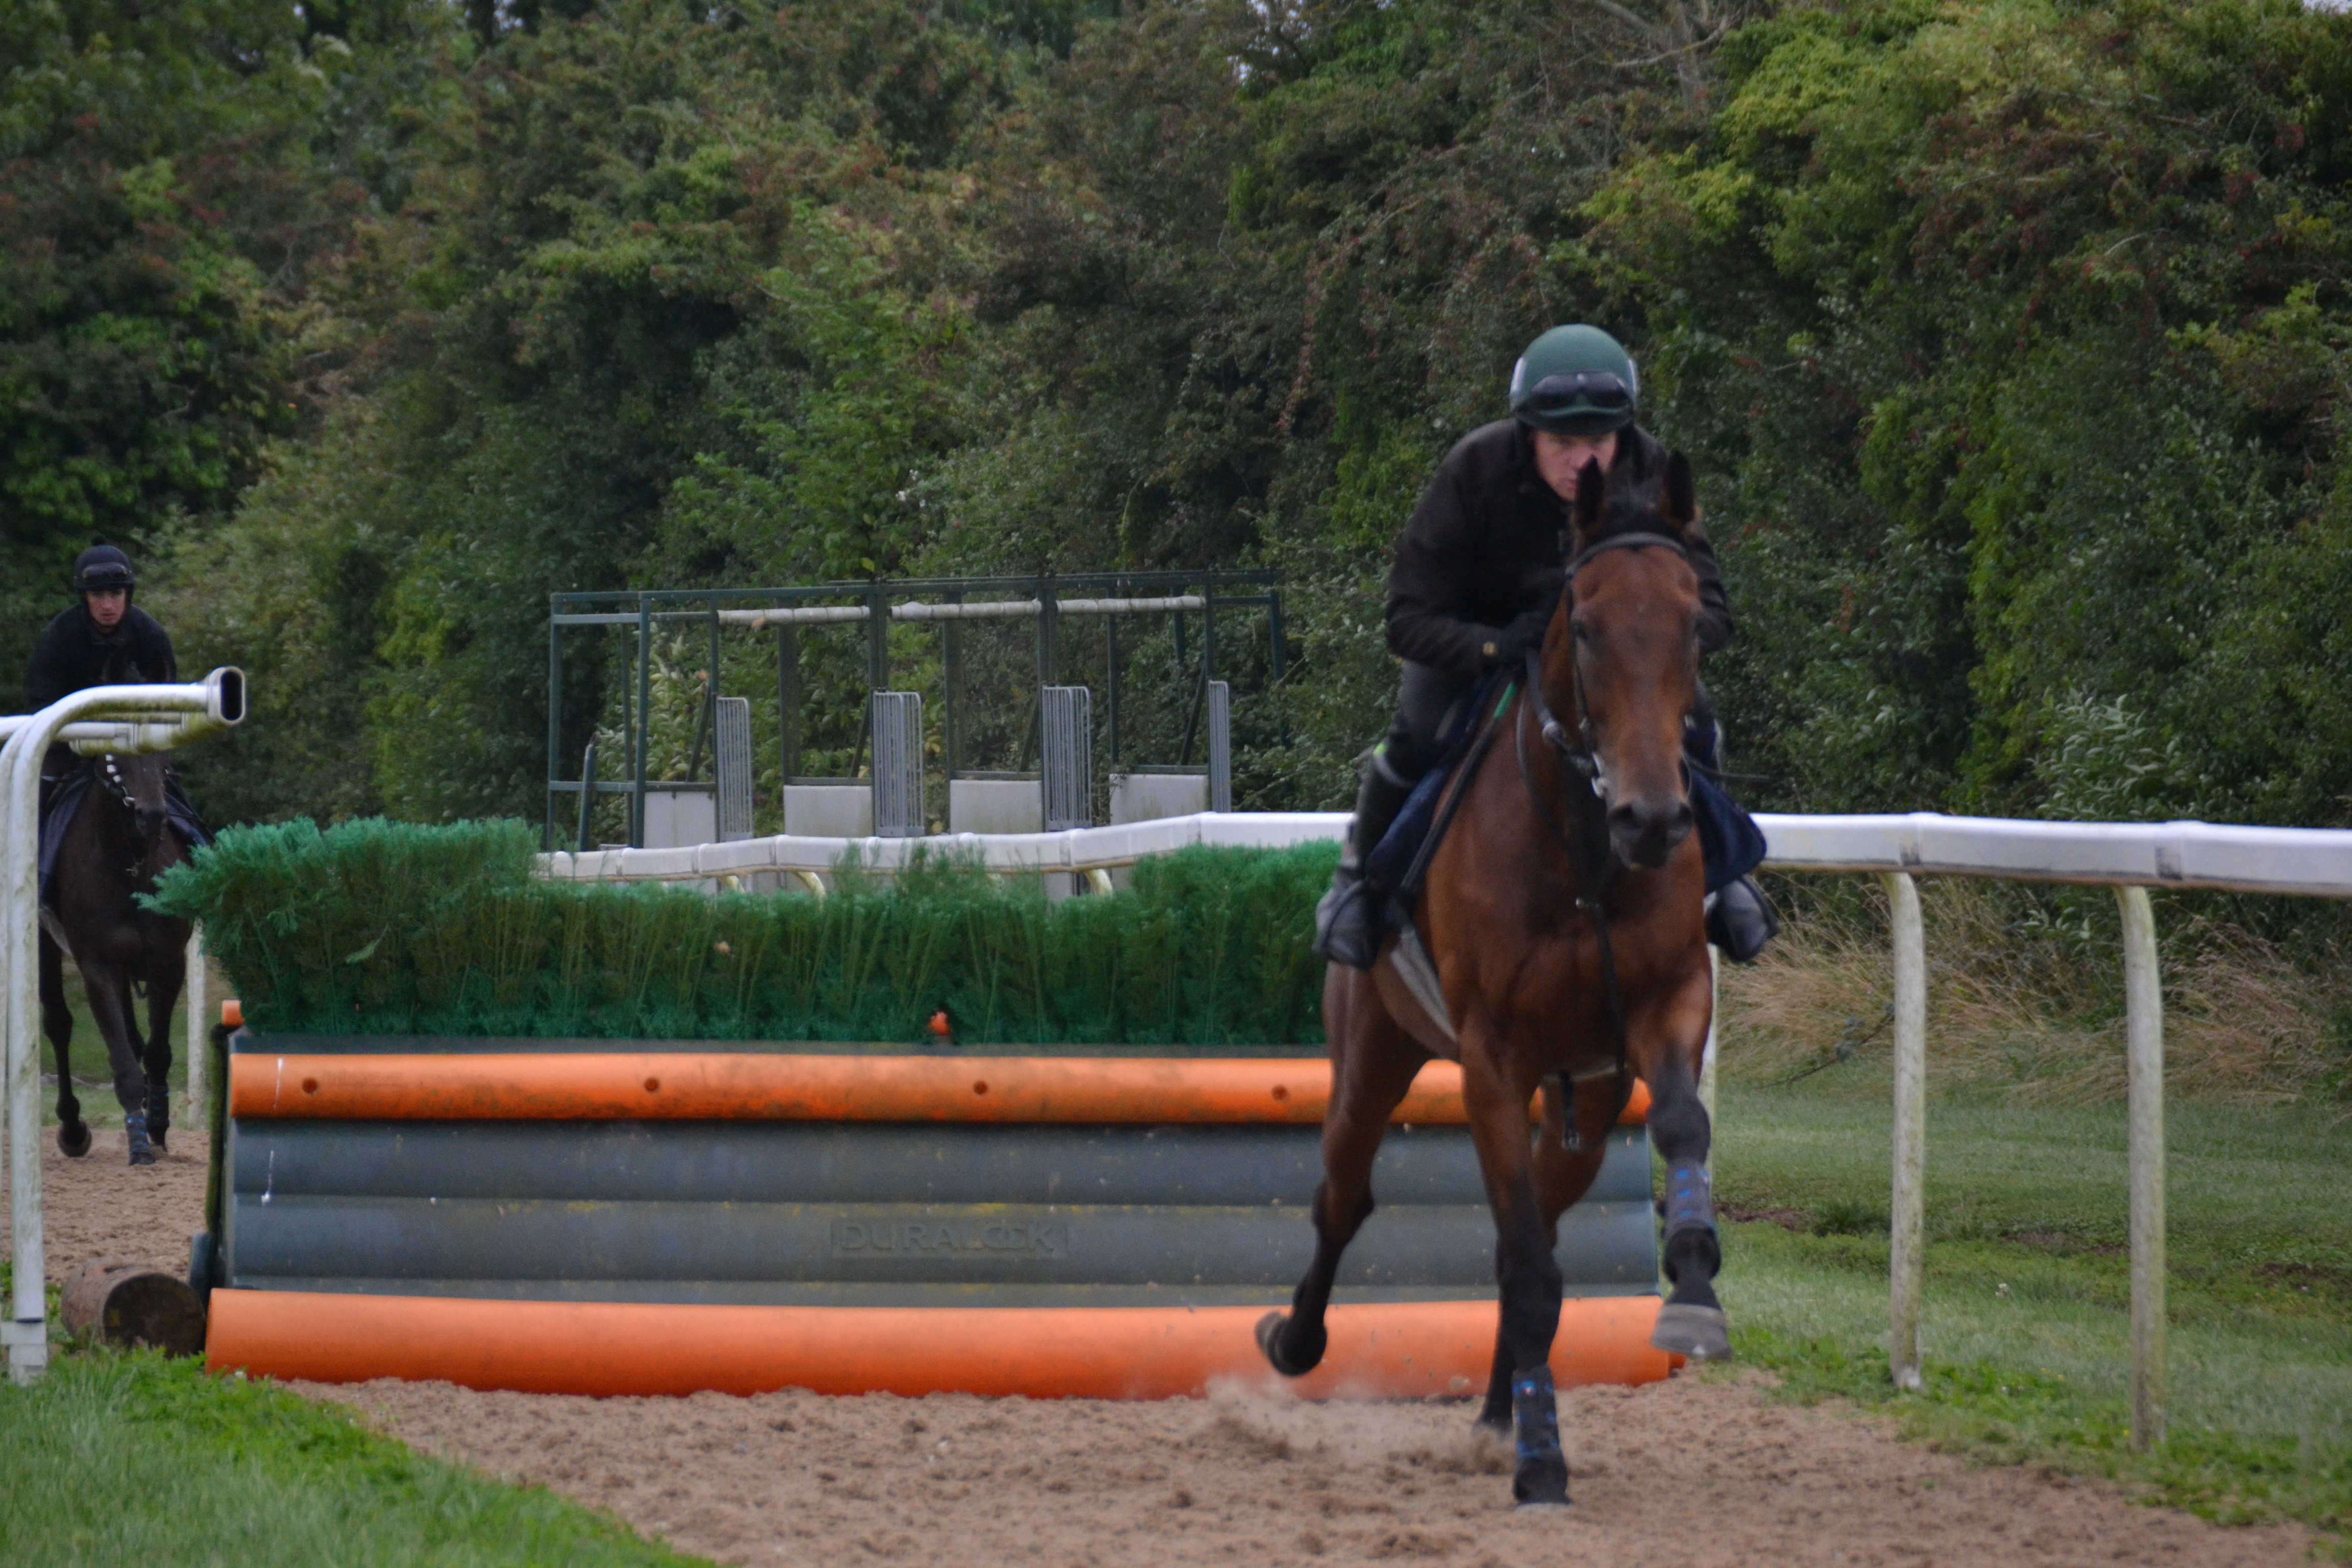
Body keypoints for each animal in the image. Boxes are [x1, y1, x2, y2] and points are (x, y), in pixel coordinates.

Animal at [40, 658, 196, 1161]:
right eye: (114, 748)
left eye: (162, 748)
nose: (152, 814)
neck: (129, 867)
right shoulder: (99, 966)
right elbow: (122, 1058)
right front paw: (138, 1141)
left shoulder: (168, 962)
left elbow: (158, 1051)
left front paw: (158, 1125)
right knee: (59, 1023)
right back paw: (72, 1128)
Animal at [1260, 451, 1722, 1504]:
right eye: (1582, 625)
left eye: (1692, 623)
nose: (1651, 820)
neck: (1583, 850)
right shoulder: (1490, 1060)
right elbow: (1519, 1259)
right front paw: (1541, 1460)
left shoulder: (1664, 1006)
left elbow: (1680, 1127)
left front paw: (1693, 1281)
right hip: (1373, 1049)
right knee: (1342, 1194)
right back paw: (1296, 1339)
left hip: (1589, 1102)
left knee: (1546, 1220)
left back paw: (1496, 1412)